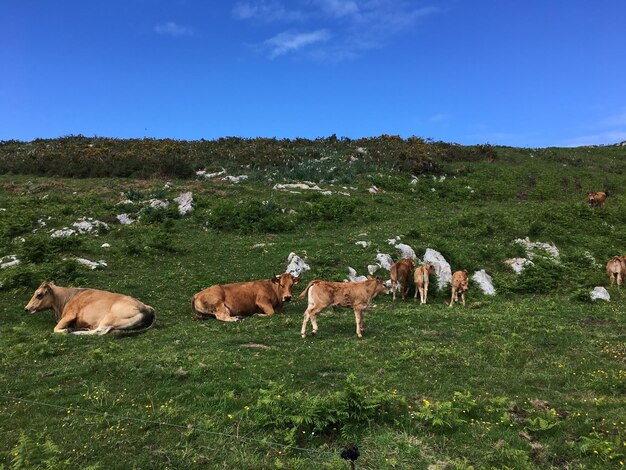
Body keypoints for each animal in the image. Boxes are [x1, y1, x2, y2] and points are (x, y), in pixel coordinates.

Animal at [25, 280, 156, 336]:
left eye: (39, 294)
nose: (26, 308)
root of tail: (147, 308)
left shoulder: (69, 315)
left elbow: (56, 328)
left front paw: (67, 330)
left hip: (110, 317)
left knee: (99, 331)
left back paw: (76, 332)